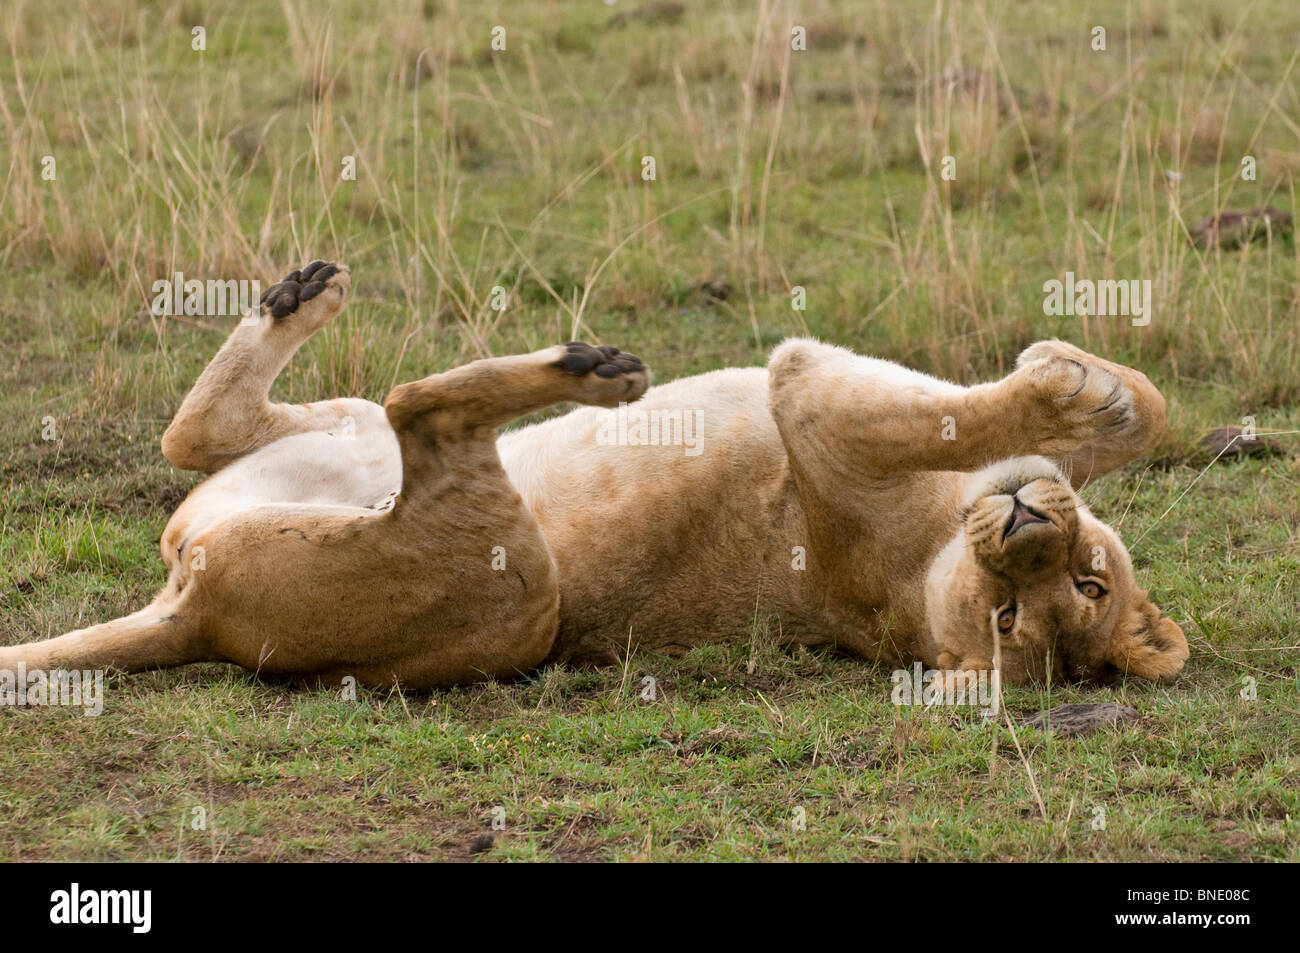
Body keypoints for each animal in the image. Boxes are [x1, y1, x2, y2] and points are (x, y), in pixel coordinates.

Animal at [1, 260, 1188, 690]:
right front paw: (1101, 393)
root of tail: (189, 613)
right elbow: (1130, 416)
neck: (930, 557)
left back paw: (594, 369)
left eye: (1020, 616)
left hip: (519, 590)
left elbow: (950, 412)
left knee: (419, 409)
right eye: (1086, 577)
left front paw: (1077, 394)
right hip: (329, 439)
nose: (1029, 527)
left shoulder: (812, 398)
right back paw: (303, 293)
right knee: (198, 430)